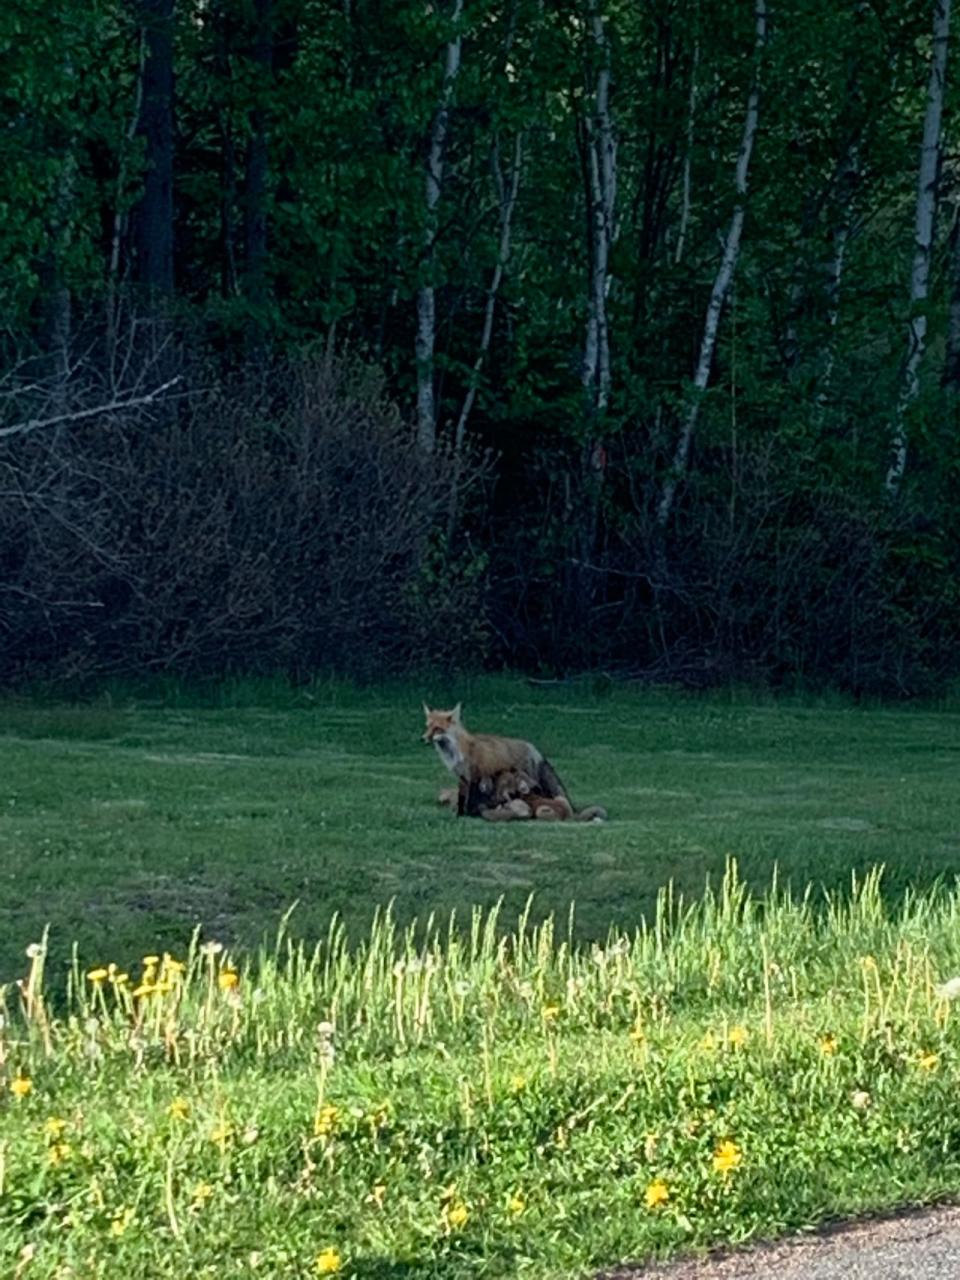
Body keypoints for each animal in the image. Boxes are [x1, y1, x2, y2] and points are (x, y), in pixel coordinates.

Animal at [422, 701, 570, 819]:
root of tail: (532, 747)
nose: (422, 738)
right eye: (428, 726)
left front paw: (470, 814)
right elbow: (461, 798)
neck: (456, 752)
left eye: (437, 728)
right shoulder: (462, 778)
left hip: (529, 779)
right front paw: (460, 815)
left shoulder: (475, 775)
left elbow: (470, 799)